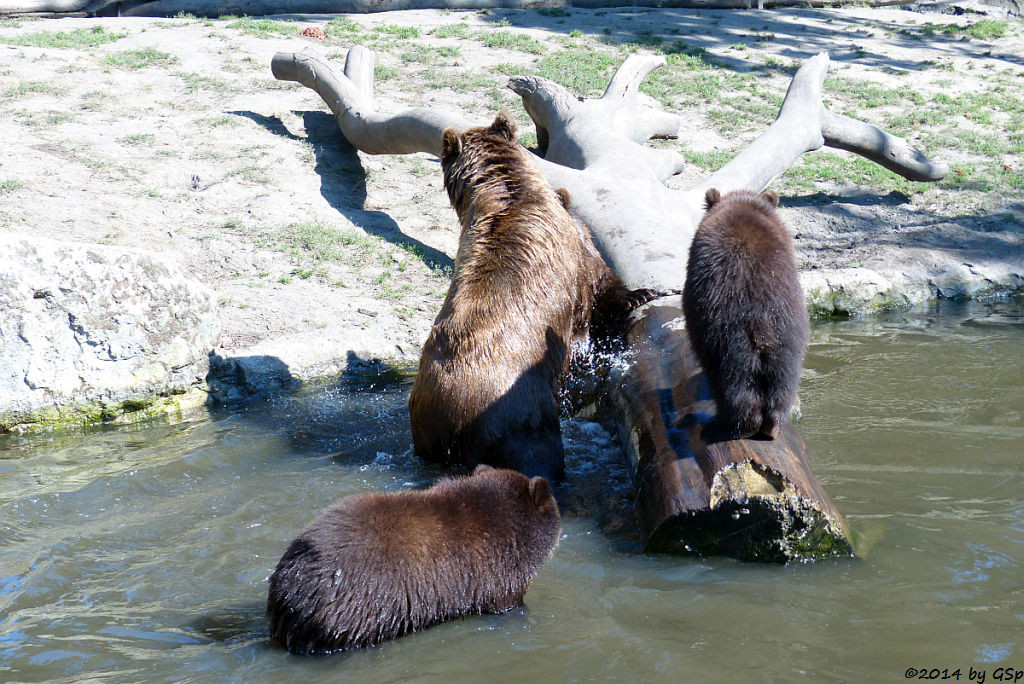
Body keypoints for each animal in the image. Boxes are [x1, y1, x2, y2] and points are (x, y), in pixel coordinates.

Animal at [409, 109, 655, 479]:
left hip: (425, 427)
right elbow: (600, 286)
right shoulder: (576, 249)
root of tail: (452, 419)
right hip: (520, 415)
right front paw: (641, 293)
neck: (509, 189)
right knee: (540, 454)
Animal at [684, 189, 811, 440]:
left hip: (723, 331)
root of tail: (759, 320)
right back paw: (774, 423)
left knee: (732, 380)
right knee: (783, 378)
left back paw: (732, 422)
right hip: (788, 327)